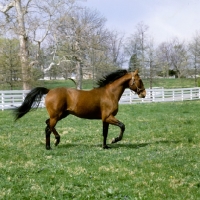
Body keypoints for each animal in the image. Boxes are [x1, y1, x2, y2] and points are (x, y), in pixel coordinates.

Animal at [13, 69, 145, 149]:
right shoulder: (108, 117)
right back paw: (52, 144)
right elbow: (122, 126)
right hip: (56, 116)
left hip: (61, 115)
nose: (143, 94)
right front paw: (115, 140)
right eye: (139, 80)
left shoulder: (105, 119)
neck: (109, 93)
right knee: (49, 127)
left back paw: (53, 143)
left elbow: (105, 133)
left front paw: (105, 146)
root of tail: (49, 91)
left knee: (47, 125)